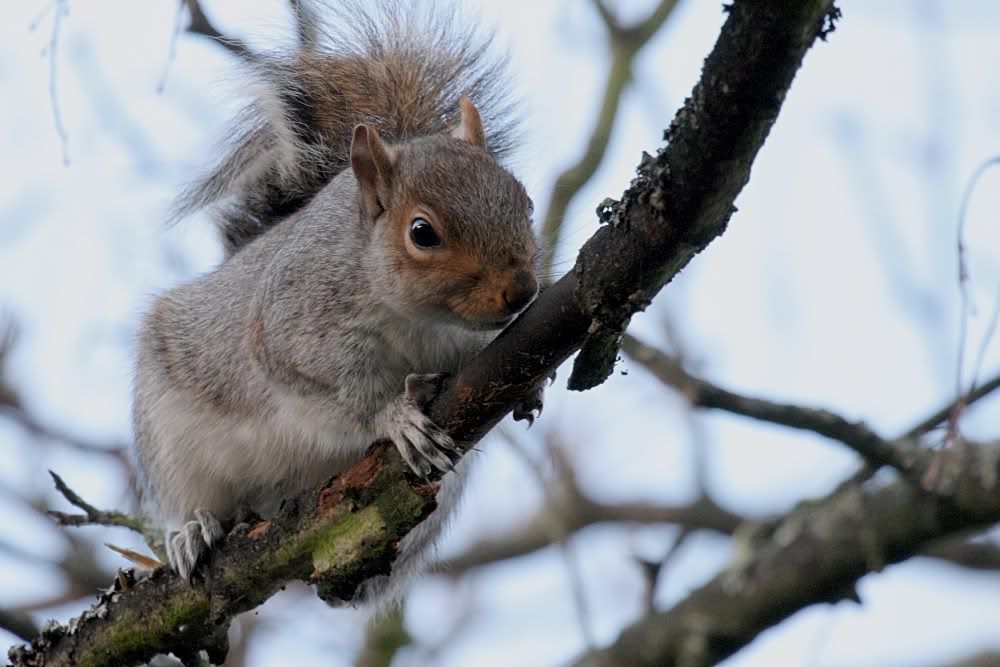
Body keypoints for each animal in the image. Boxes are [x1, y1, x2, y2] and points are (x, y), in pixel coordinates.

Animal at [133, 0, 542, 602]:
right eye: (422, 232)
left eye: (526, 201)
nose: (523, 290)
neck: (419, 320)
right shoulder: (291, 333)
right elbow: (340, 397)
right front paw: (395, 416)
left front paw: (533, 389)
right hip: (170, 437)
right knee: (194, 498)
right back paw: (195, 529)